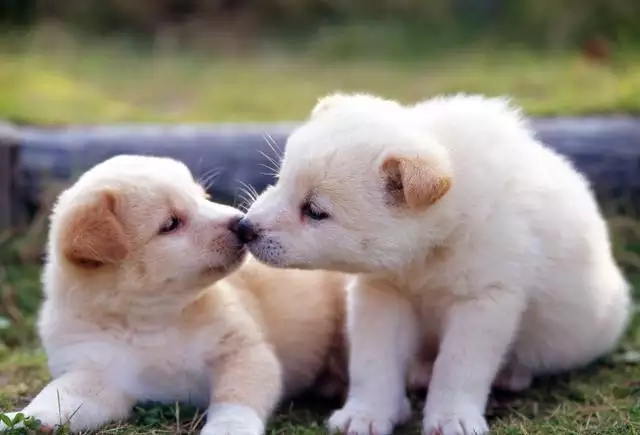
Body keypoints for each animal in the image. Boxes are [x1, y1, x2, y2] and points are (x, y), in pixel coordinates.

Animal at [0, 155, 348, 434]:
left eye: (203, 197)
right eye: (170, 224)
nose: (241, 223)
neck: (150, 320)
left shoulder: (241, 351)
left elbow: (235, 401)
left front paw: (228, 429)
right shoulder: (95, 375)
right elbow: (56, 397)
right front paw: (24, 419)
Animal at [239, 93, 632, 435]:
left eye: (315, 211)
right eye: (280, 181)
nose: (244, 228)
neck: (427, 253)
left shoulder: (482, 301)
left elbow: (458, 368)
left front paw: (452, 418)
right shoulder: (382, 294)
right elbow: (372, 362)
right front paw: (365, 414)